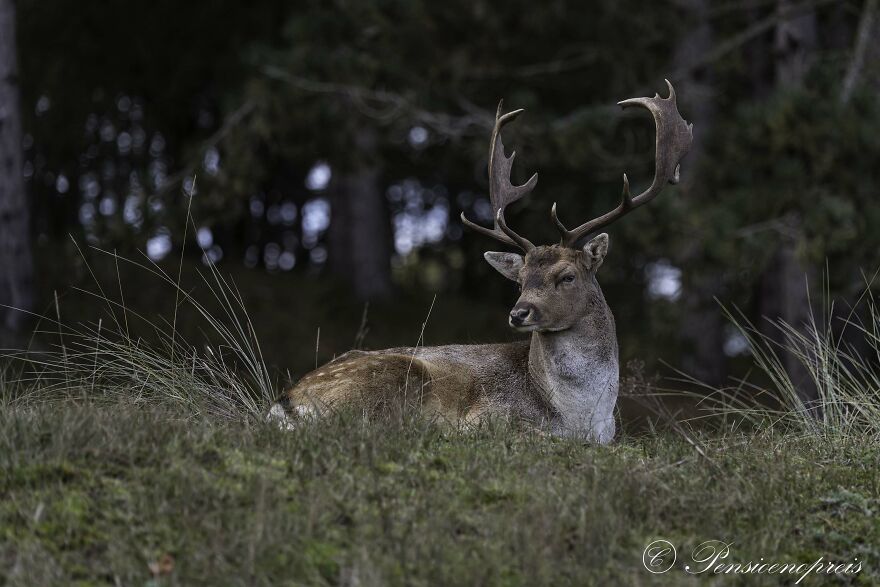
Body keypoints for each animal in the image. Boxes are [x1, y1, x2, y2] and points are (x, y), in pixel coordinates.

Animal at [268, 80, 692, 443]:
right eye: (520, 279)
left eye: (567, 276)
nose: (519, 312)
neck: (581, 414)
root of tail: (287, 401)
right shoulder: (491, 415)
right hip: (393, 380)